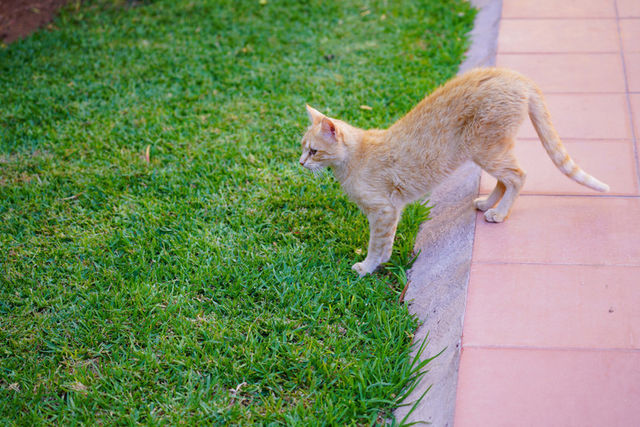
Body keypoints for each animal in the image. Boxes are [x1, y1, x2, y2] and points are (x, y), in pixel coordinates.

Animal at [300, 67, 608, 278]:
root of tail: (513, 74)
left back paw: (499, 213)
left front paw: (368, 266)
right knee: (504, 179)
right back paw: (487, 204)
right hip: (490, 150)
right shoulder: (388, 211)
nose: (301, 163)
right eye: (302, 148)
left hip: (486, 149)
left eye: (313, 151)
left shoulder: (383, 210)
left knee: (518, 176)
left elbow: (377, 244)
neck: (355, 159)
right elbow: (383, 242)